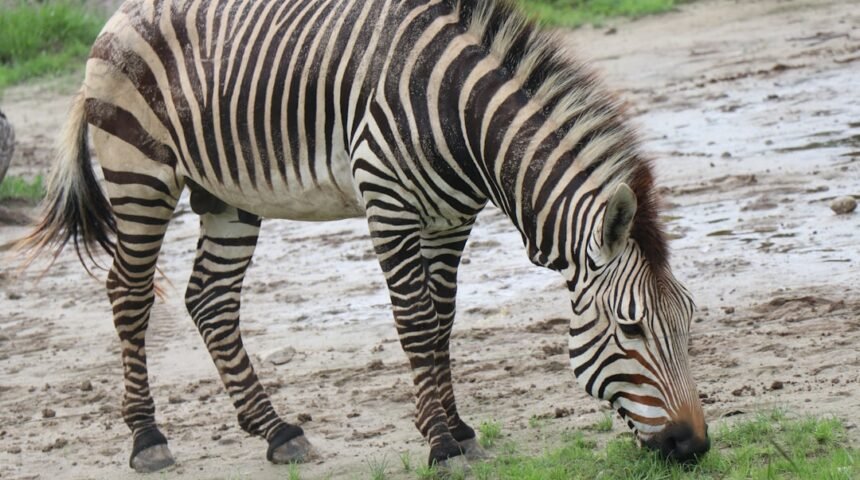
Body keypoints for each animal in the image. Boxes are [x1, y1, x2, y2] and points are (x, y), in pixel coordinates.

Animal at [21, 0, 711, 472]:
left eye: (688, 319)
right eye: (631, 329)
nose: (695, 446)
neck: (464, 124)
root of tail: (122, 12)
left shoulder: (451, 220)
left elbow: (442, 322)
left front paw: (455, 427)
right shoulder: (390, 208)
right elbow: (415, 323)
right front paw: (441, 444)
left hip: (226, 196)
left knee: (210, 300)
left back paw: (276, 430)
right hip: (140, 172)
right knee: (130, 294)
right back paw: (147, 438)